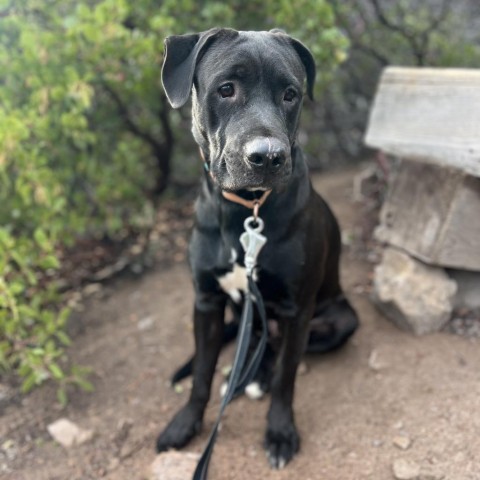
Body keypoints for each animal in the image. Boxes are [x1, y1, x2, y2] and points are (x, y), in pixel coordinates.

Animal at [156, 29, 358, 468]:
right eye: (226, 89)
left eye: (291, 94)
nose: (267, 157)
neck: (247, 211)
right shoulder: (207, 301)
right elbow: (201, 374)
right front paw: (185, 424)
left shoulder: (297, 311)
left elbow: (286, 378)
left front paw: (280, 432)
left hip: (339, 318)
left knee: (278, 349)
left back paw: (254, 378)